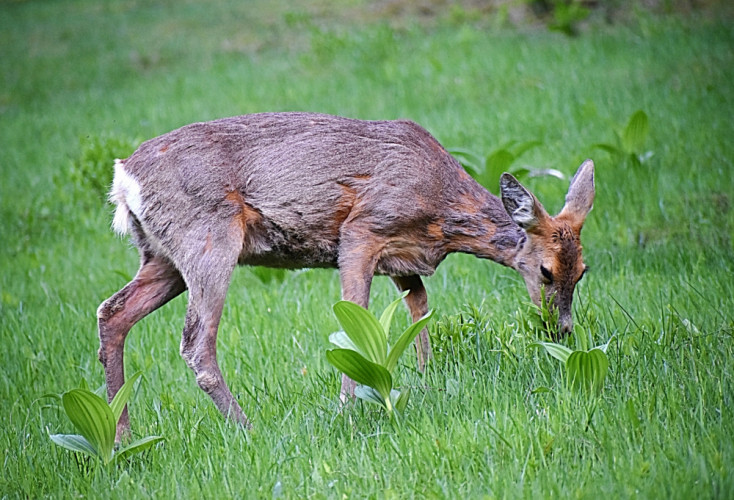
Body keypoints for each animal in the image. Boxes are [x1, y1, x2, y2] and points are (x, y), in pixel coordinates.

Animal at [98, 111, 596, 440]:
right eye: (546, 271)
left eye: (583, 271)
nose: (561, 329)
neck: (442, 209)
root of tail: (123, 178)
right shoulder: (362, 230)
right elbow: (356, 323)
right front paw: (346, 411)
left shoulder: (404, 262)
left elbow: (420, 315)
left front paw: (428, 381)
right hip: (208, 240)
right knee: (196, 342)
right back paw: (249, 428)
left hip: (162, 257)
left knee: (112, 312)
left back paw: (121, 437)